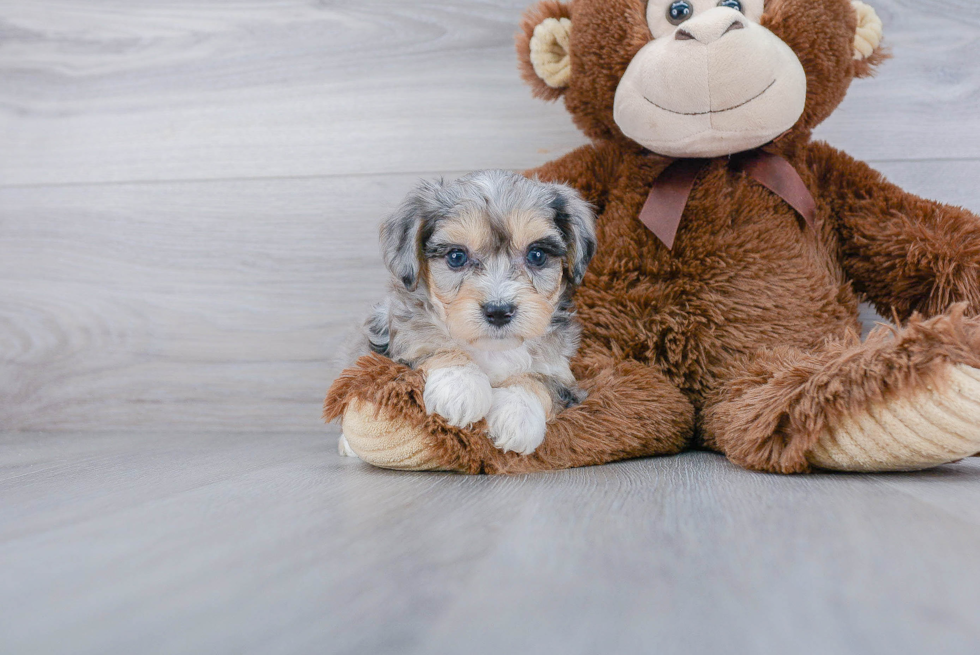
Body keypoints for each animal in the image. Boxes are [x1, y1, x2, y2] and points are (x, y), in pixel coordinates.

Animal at [340, 169, 592, 456]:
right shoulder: (398, 345)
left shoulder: (563, 374)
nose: (498, 311)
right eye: (456, 256)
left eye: (536, 255)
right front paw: (460, 386)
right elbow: (432, 343)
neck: (491, 349)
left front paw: (518, 413)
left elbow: (541, 380)